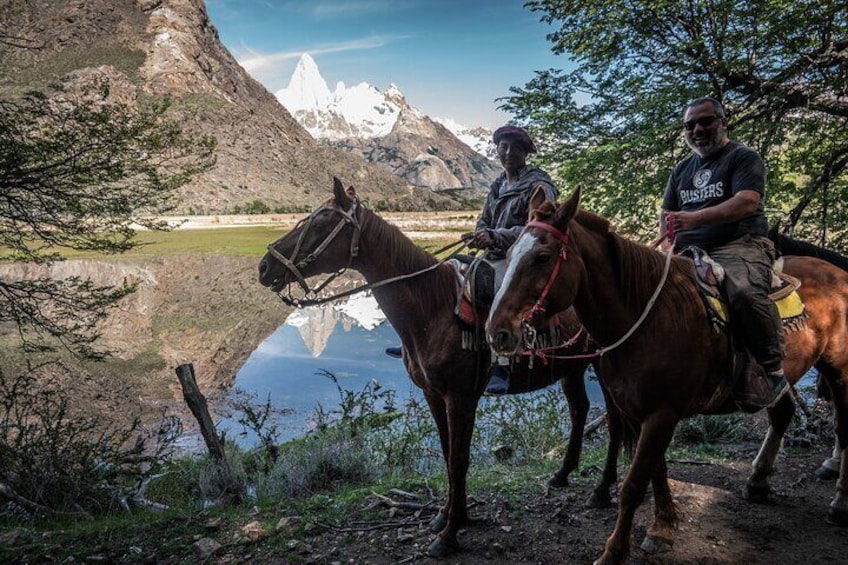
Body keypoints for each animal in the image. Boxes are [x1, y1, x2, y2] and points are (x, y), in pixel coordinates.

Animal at [258, 177, 624, 556]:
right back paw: (562, 474)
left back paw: (602, 490)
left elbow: (459, 459)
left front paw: (450, 533)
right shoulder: (434, 395)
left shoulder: (460, 398)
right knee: (580, 410)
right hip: (572, 370)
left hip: (604, 365)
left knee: (614, 419)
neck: (430, 309)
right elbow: (448, 453)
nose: (264, 267)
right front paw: (446, 516)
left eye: (320, 221)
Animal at [486, 186, 848, 564]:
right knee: (782, 413)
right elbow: (656, 471)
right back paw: (758, 481)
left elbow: (634, 484)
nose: (497, 332)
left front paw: (614, 551)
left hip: (838, 370)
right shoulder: (643, 413)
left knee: (842, 426)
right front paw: (662, 527)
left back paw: (839, 501)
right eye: (509, 254)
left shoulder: (662, 414)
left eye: (542, 257)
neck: (645, 318)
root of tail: (837, 273)